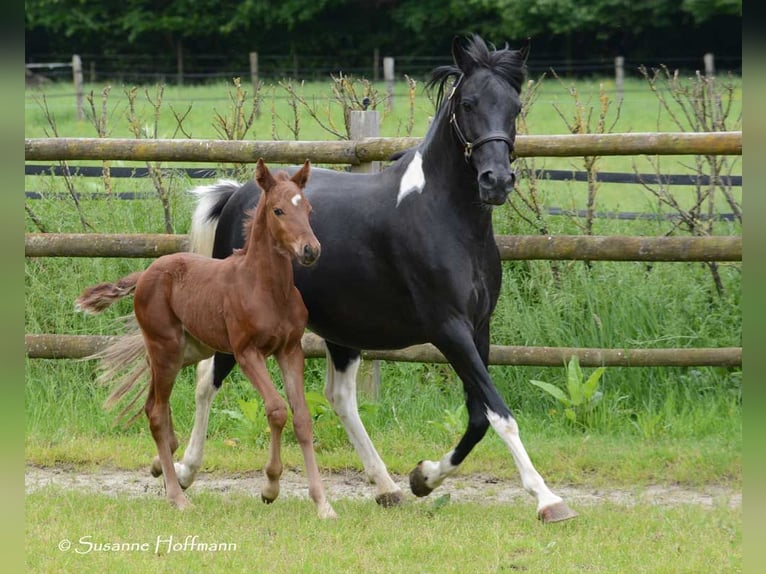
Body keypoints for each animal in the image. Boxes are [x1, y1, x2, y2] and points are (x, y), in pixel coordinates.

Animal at [77, 159, 336, 520]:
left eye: (309, 209)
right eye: (278, 210)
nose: (310, 250)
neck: (268, 289)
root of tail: (146, 274)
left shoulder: (289, 350)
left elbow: (301, 417)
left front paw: (323, 503)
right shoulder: (246, 352)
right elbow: (276, 409)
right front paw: (270, 486)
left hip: (185, 350)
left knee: (153, 404)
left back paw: (164, 464)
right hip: (167, 349)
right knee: (155, 412)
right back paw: (177, 497)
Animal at [166, 33, 576, 524]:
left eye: (514, 105)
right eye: (469, 102)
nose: (496, 180)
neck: (445, 217)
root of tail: (238, 195)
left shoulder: (479, 328)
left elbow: (478, 417)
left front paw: (423, 478)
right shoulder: (448, 328)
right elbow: (499, 414)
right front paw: (548, 499)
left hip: (343, 328)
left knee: (339, 397)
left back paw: (387, 487)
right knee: (207, 377)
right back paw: (183, 471)